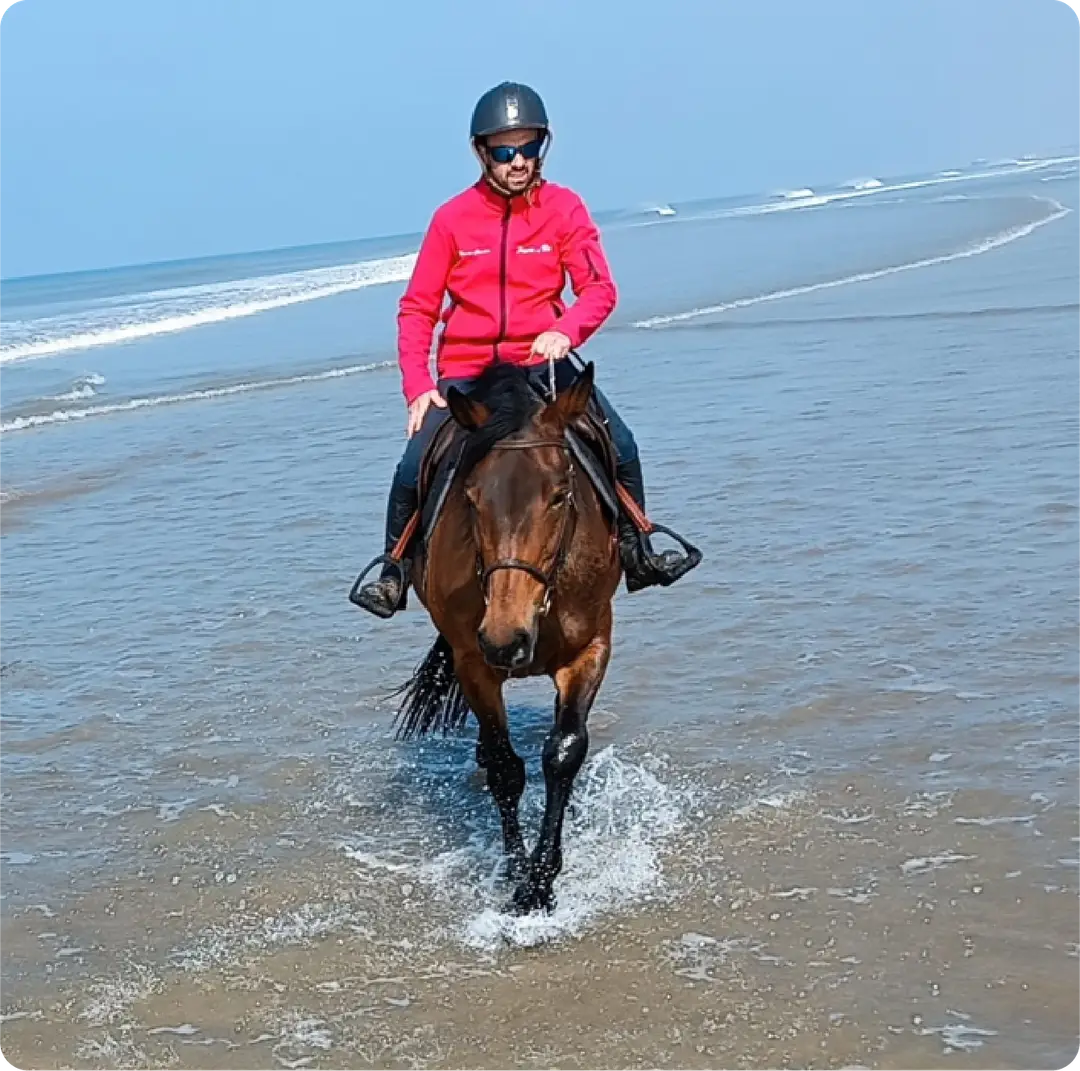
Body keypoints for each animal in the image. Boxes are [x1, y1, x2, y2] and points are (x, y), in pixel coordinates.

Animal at [392, 360, 621, 914]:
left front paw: (542, 879)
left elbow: (563, 752)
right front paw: (521, 877)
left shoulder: (591, 649)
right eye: (472, 498)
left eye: (560, 494)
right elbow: (504, 768)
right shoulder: (474, 662)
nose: (506, 638)